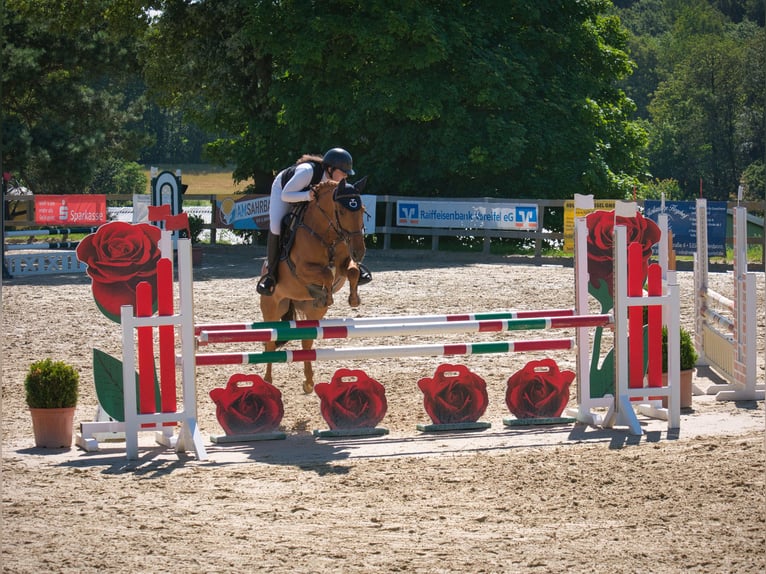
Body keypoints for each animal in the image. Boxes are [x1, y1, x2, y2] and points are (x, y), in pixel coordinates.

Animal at [260, 178, 368, 394]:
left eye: (362, 210)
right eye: (341, 211)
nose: (360, 252)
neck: (326, 234)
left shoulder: (344, 264)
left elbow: (352, 271)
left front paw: (353, 299)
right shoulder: (302, 268)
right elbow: (326, 272)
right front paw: (327, 295)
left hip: (311, 313)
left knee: (307, 343)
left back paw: (309, 382)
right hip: (272, 308)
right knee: (270, 342)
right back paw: (267, 381)